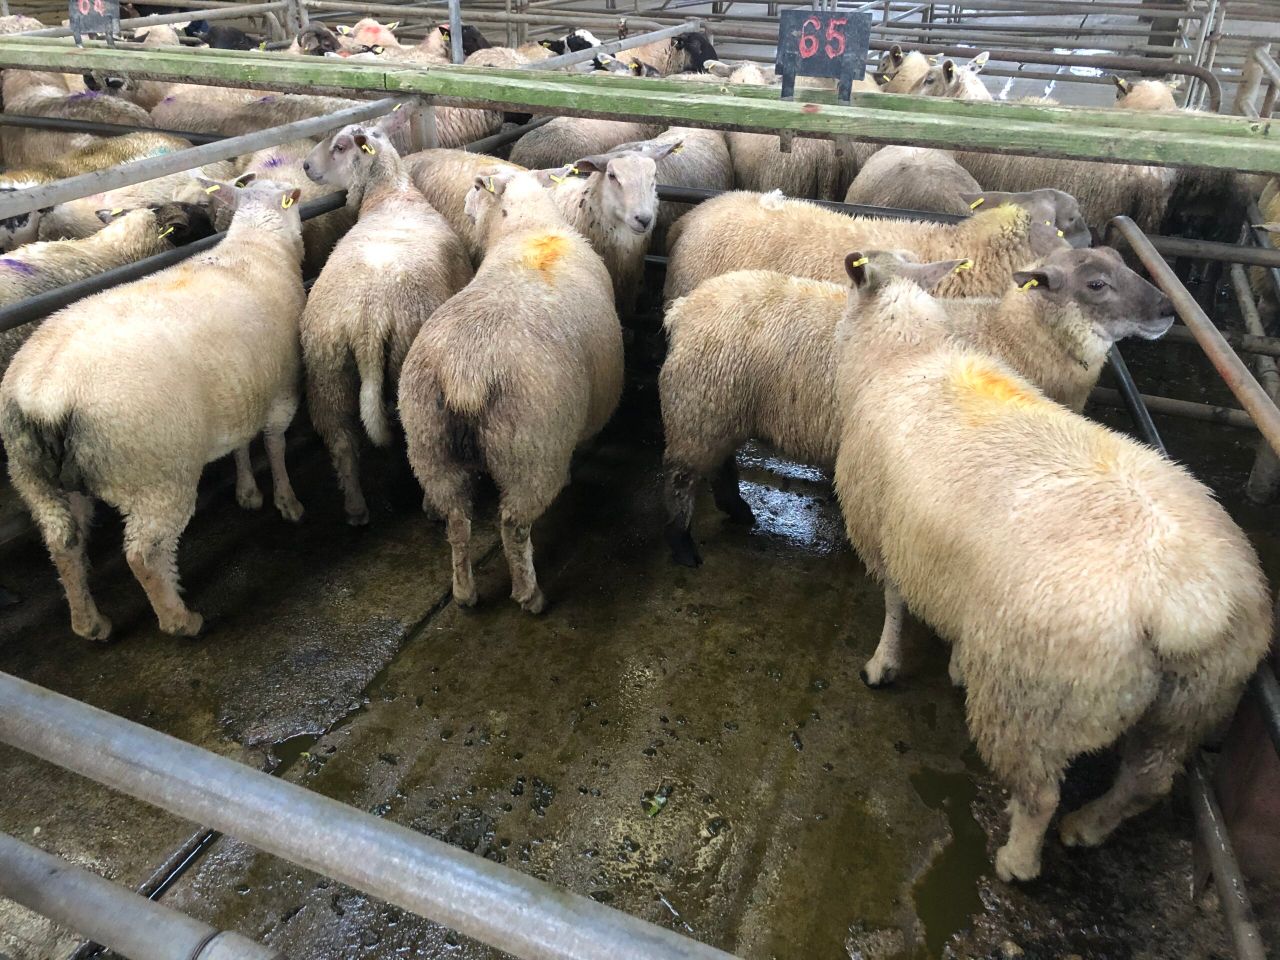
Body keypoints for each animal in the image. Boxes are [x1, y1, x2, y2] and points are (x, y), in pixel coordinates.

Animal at [301, 124, 472, 524]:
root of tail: (367, 323)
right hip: (395, 362)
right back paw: (428, 505)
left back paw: (355, 508)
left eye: (339, 146)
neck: (392, 195)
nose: (305, 165)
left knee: (342, 440)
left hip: (327, 369)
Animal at [398, 169, 622, 613]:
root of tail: (466, 369)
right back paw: (529, 594)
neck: (530, 229)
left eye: (476, 187)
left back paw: (464, 592)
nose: (464, 206)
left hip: (429, 441)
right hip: (530, 449)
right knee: (513, 528)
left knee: (457, 524)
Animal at [659, 246, 1174, 565]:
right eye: (1096, 284)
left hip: (718, 409)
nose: (1169, 310)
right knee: (682, 477)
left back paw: (738, 511)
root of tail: (685, 308)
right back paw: (683, 547)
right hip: (698, 407)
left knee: (721, 465)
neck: (1009, 333)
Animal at [831, 250, 1267, 882]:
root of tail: (1189, 604)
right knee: (1145, 782)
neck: (906, 354)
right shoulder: (947, 561)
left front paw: (882, 665)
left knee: (1040, 793)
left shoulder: (886, 531)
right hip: (1191, 700)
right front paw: (956, 661)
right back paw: (1087, 828)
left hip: (1033, 696)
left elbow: (893, 604)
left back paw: (1018, 858)